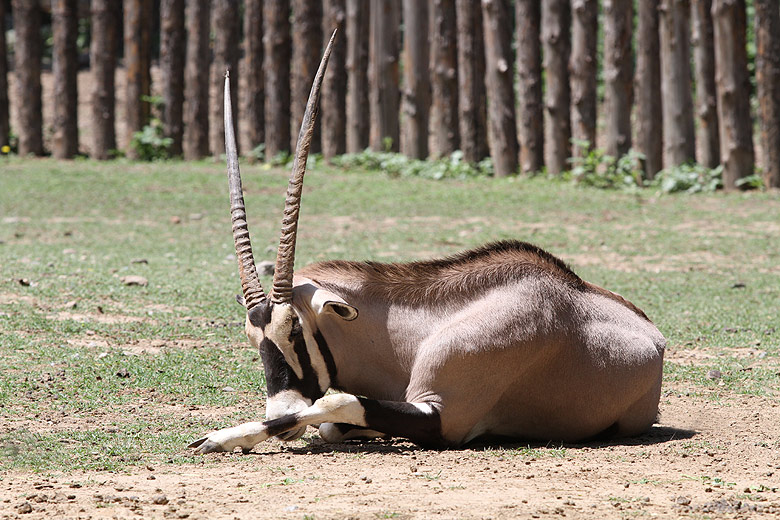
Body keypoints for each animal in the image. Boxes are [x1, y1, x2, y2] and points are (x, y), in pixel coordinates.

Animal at [189, 31, 665, 454]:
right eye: (252, 336)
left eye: (296, 330)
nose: (280, 414)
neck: (424, 329)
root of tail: (654, 339)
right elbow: (332, 419)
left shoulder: (444, 416)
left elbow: (338, 401)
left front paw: (218, 437)